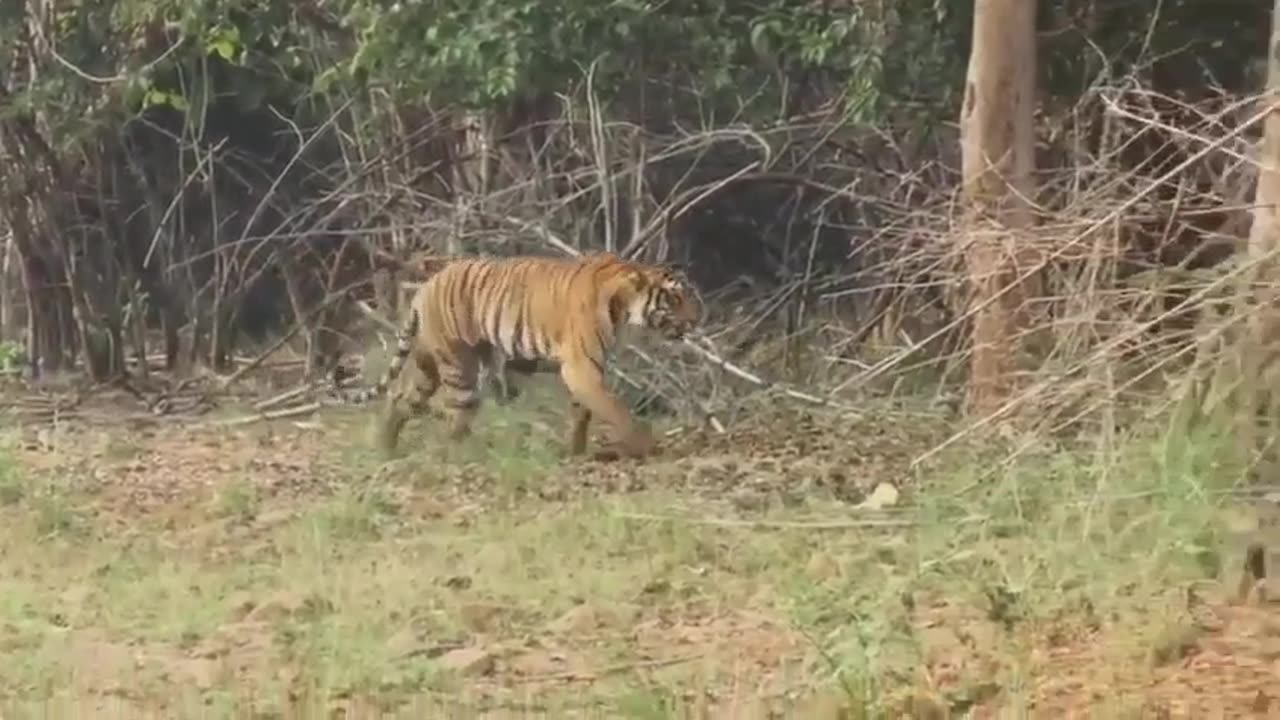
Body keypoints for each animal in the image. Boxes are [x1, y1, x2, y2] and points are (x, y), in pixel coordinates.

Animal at [358, 249, 701, 456]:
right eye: (675, 298)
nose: (697, 318)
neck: (624, 304)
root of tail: (426, 286)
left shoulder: (586, 369)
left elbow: (582, 413)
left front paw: (575, 452)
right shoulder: (581, 367)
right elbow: (615, 408)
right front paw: (646, 444)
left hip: (428, 361)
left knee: (400, 398)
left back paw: (383, 447)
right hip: (458, 365)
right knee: (457, 415)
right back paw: (461, 454)